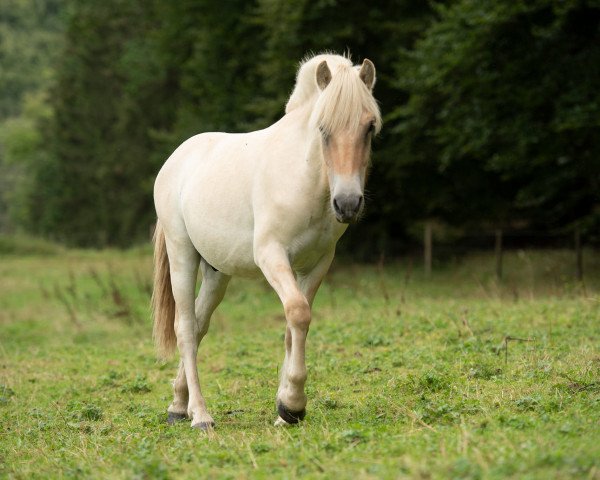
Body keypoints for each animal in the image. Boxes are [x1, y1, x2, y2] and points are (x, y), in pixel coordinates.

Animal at [152, 53, 382, 432]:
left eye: (370, 127)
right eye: (323, 129)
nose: (347, 204)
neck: (304, 177)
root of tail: (176, 159)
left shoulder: (317, 264)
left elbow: (293, 326)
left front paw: (285, 408)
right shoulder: (272, 256)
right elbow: (298, 314)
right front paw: (293, 404)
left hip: (217, 273)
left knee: (199, 326)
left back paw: (177, 405)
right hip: (182, 254)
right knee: (185, 329)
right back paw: (200, 415)